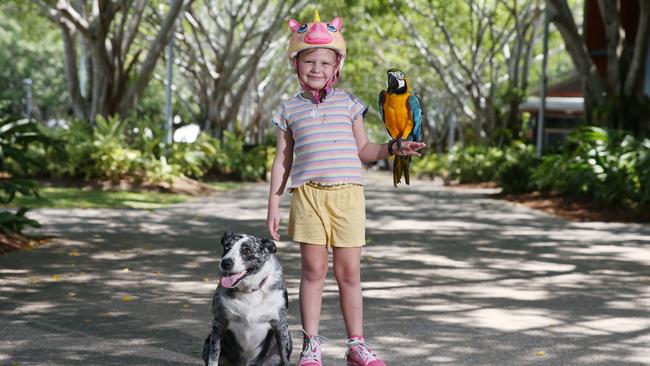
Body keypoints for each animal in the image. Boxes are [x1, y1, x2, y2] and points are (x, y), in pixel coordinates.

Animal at [202, 233, 292, 364]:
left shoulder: (280, 325)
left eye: (247, 250)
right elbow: (213, 357)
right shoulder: (219, 324)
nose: (225, 263)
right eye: (227, 246)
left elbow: (284, 358)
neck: (248, 291)